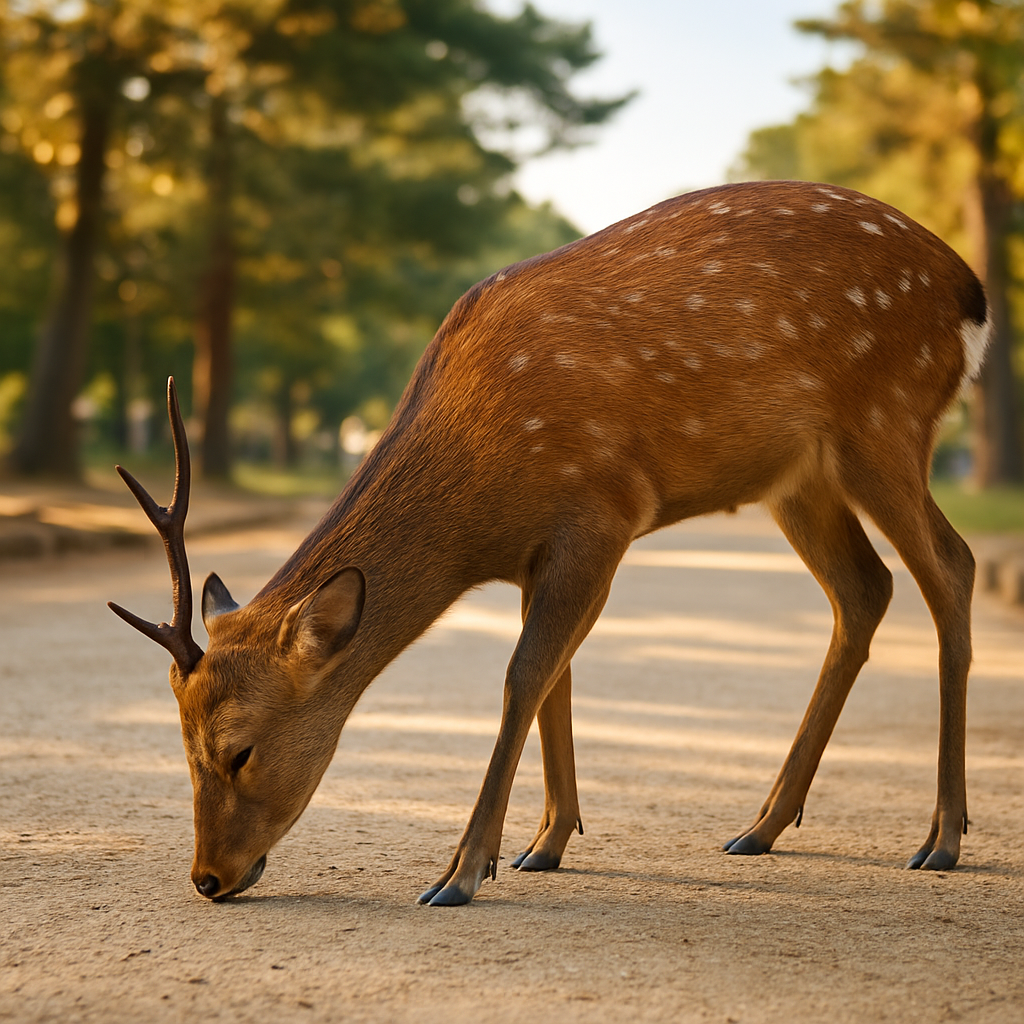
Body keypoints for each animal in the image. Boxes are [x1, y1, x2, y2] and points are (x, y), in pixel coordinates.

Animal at [110, 180, 991, 907]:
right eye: (181, 745)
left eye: (239, 750)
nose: (207, 877)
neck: (482, 505)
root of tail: (968, 289)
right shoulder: (543, 551)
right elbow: (555, 679)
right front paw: (546, 843)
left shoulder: (600, 510)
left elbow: (523, 675)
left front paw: (463, 871)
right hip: (798, 476)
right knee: (865, 587)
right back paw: (762, 825)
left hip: (884, 418)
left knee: (951, 565)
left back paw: (942, 837)